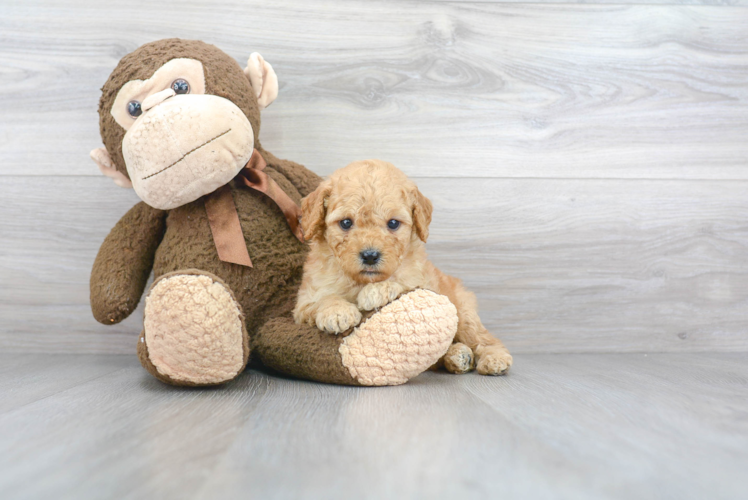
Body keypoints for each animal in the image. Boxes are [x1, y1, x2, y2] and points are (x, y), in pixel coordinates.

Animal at [296, 160, 512, 376]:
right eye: (346, 222)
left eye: (393, 223)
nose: (370, 256)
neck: (362, 280)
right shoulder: (303, 303)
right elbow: (321, 300)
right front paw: (337, 312)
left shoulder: (421, 283)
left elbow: (401, 283)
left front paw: (375, 292)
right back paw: (458, 356)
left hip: (465, 314)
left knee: (483, 337)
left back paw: (493, 358)